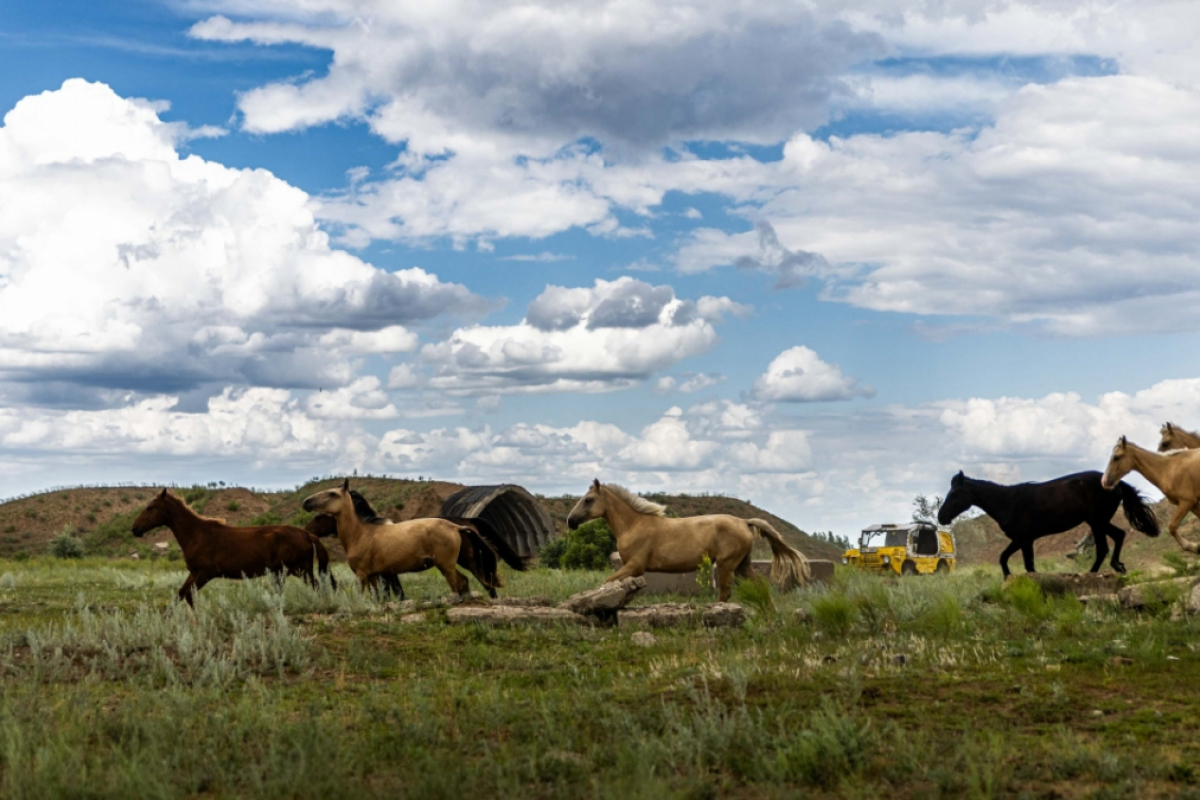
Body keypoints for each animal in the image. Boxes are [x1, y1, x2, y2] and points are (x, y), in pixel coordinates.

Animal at [130, 489, 336, 606]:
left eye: (150, 507)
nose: (134, 529)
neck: (196, 534)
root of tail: (306, 534)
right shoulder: (194, 572)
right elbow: (180, 595)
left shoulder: (205, 573)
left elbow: (189, 596)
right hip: (295, 571)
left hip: (294, 571)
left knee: (316, 588)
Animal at [566, 479, 811, 604]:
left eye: (588, 500)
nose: (570, 521)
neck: (634, 524)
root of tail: (744, 522)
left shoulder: (635, 566)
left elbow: (608, 581)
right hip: (742, 565)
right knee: (759, 585)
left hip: (726, 565)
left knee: (725, 592)